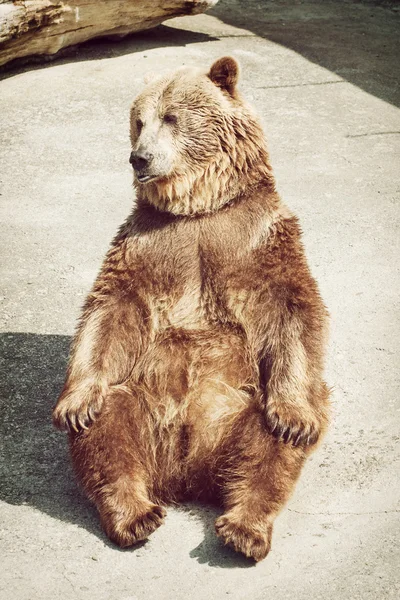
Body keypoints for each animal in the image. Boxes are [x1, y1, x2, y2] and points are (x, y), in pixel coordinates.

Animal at [52, 57, 328, 564]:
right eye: (138, 121)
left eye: (171, 117)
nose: (139, 158)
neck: (198, 207)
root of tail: (184, 474)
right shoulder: (148, 244)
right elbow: (110, 309)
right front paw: (75, 404)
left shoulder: (256, 237)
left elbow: (293, 309)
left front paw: (294, 418)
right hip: (141, 403)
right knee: (110, 426)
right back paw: (135, 514)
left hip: (241, 406)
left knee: (266, 445)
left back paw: (244, 528)